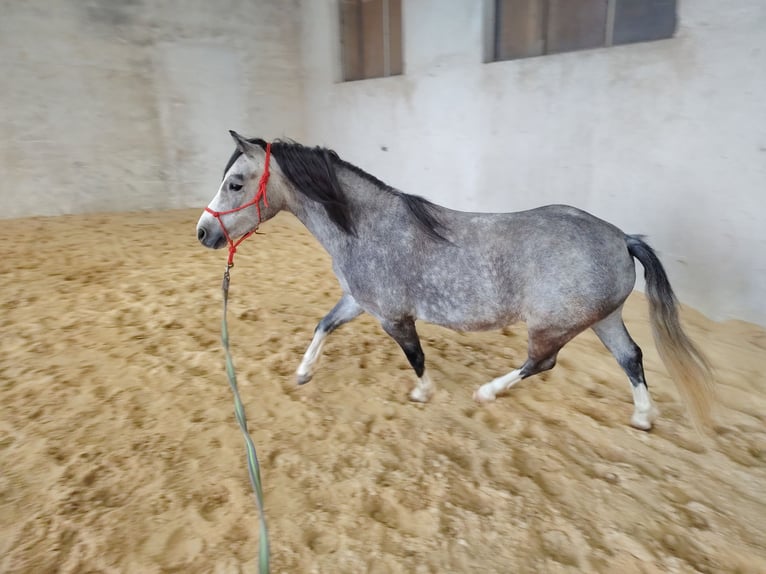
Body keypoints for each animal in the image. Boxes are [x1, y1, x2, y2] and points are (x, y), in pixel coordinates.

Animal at [196, 131, 715, 432]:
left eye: (235, 183)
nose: (203, 232)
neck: (367, 226)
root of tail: (622, 238)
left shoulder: (391, 315)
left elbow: (415, 355)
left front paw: (423, 393)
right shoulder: (358, 301)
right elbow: (323, 325)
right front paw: (303, 372)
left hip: (554, 324)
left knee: (542, 362)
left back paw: (486, 392)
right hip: (603, 318)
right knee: (631, 357)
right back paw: (643, 417)